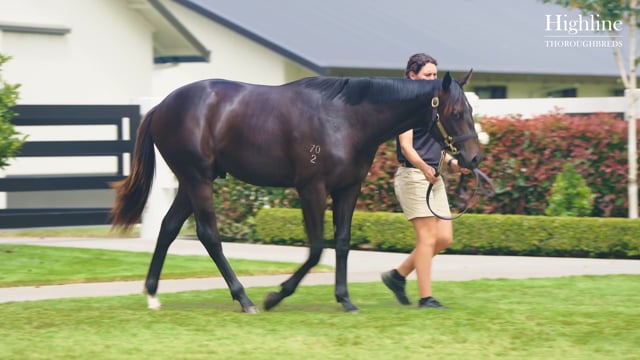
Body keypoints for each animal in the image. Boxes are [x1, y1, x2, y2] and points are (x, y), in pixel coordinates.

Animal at [111, 70, 480, 312]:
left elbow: (342, 242)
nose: (474, 158)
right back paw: (244, 298)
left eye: (472, 111)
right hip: (198, 179)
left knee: (169, 227)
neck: (346, 118)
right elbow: (317, 248)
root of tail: (161, 107)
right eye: (455, 112)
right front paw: (276, 296)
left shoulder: (348, 189)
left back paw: (153, 294)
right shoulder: (311, 189)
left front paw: (345, 299)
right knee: (208, 234)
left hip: (192, 182)